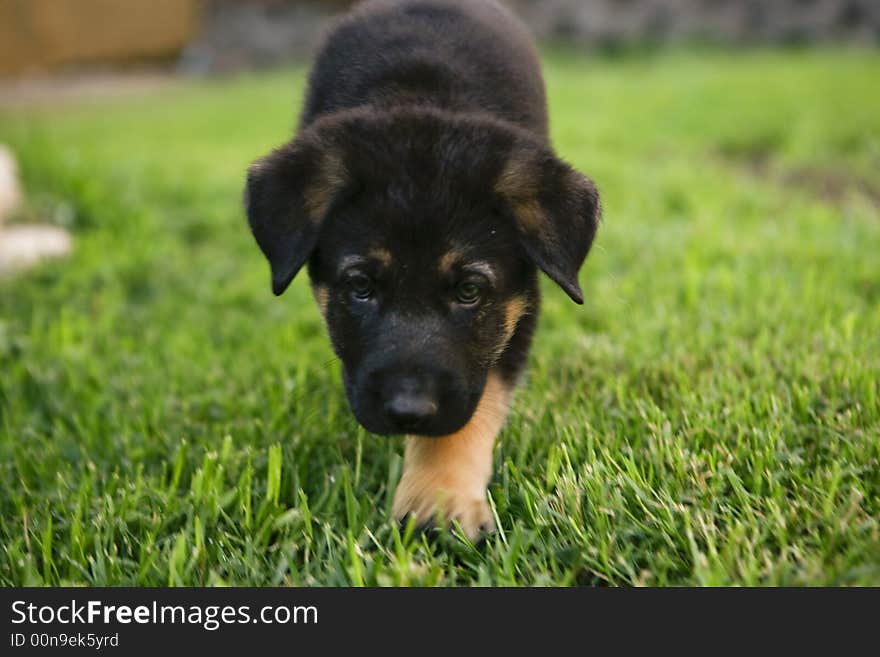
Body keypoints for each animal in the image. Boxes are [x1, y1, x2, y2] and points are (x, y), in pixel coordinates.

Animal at [246, 0, 600, 540]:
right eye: (361, 286)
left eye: (470, 290)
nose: (407, 412)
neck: (420, 96)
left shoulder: (517, 309)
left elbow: (473, 405)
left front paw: (440, 498)